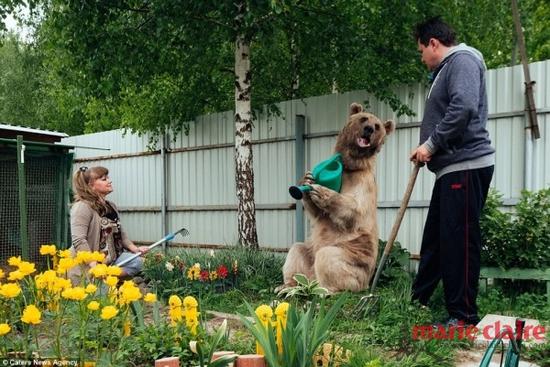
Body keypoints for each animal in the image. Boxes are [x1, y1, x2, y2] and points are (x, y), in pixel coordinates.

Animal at [282, 103, 394, 294]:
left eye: (377, 126)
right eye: (363, 118)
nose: (369, 129)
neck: (350, 165)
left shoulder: (363, 182)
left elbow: (355, 209)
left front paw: (323, 192)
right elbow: (317, 212)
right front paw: (307, 180)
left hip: (354, 261)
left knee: (328, 257)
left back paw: (326, 290)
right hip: (310, 253)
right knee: (297, 250)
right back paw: (287, 286)